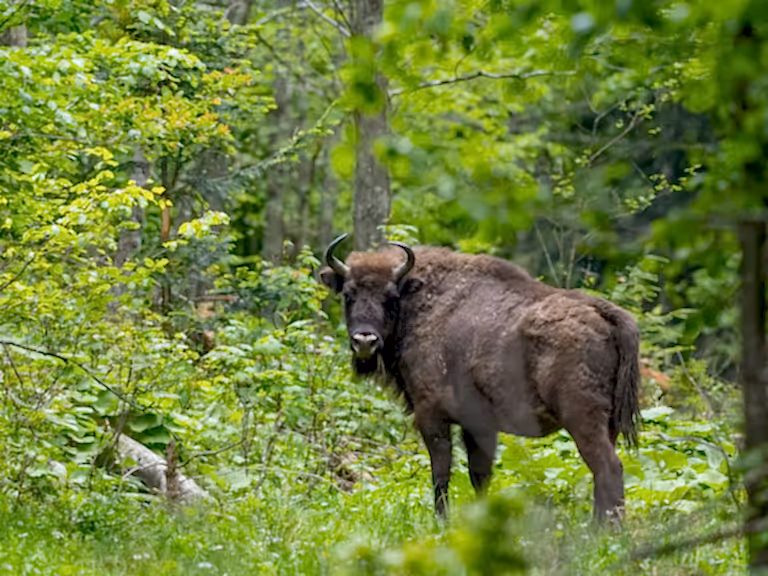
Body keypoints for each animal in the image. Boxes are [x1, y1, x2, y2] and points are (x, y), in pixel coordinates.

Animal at [319, 234, 640, 521]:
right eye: (348, 295)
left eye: (390, 297)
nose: (365, 340)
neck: (421, 302)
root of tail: (603, 311)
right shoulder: (478, 426)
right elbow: (480, 474)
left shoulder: (431, 415)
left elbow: (441, 471)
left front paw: (442, 521)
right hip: (607, 424)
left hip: (582, 418)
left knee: (608, 467)